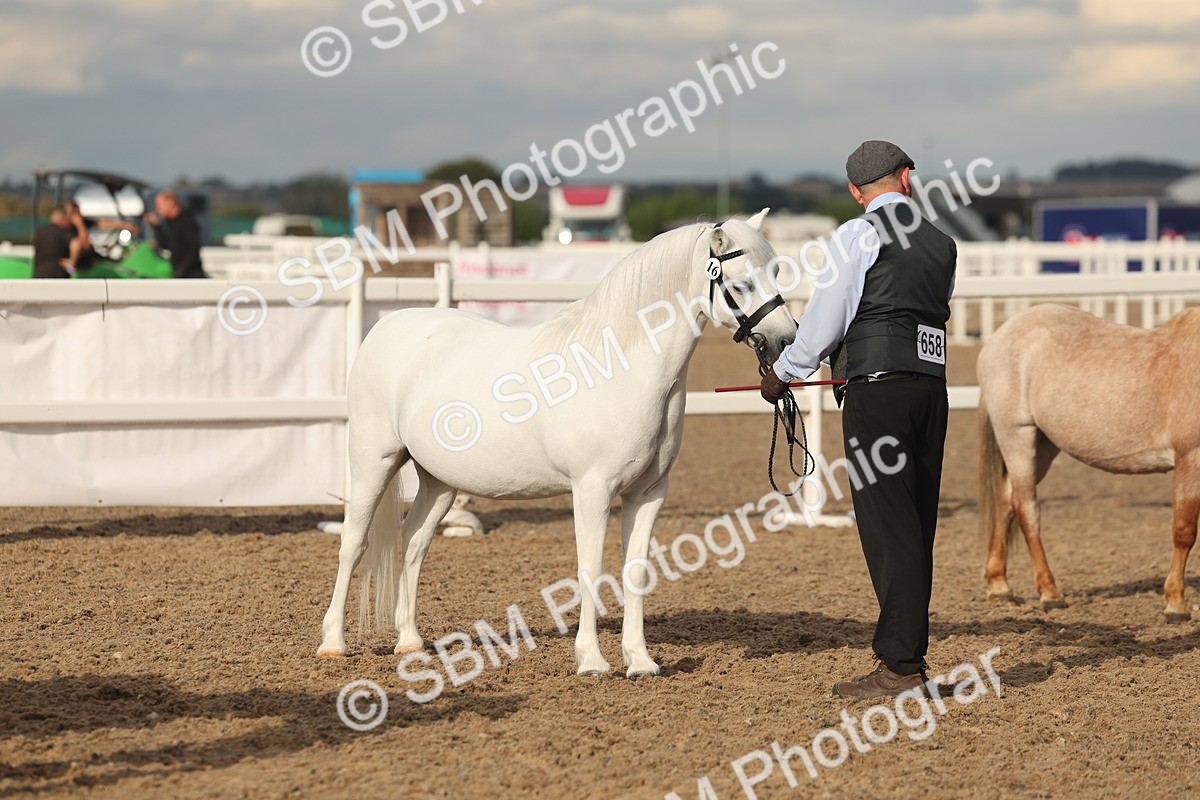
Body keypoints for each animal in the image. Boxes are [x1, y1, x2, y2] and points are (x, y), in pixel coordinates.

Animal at [317, 210, 799, 676]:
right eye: (741, 283)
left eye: (776, 271)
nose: (786, 338)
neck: (620, 368)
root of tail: (386, 327)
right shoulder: (591, 490)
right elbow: (591, 570)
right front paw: (592, 661)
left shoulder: (648, 493)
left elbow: (636, 572)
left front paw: (640, 661)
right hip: (373, 463)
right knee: (354, 543)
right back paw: (333, 644)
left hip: (438, 481)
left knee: (414, 543)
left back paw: (410, 642)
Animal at [978, 303, 1200, 621]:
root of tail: (1002, 333)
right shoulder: (1190, 458)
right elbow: (1184, 531)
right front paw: (1175, 604)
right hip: (1016, 435)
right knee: (1026, 509)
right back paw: (1050, 594)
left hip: (1042, 446)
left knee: (1006, 499)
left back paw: (1000, 587)